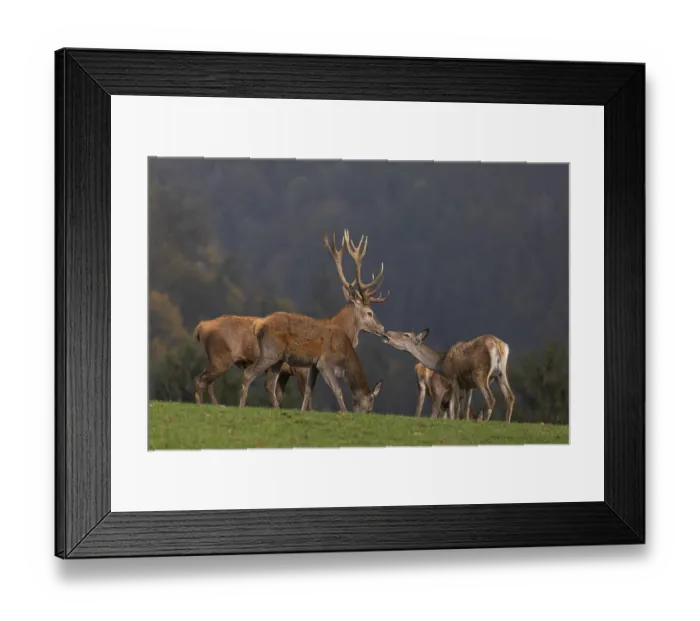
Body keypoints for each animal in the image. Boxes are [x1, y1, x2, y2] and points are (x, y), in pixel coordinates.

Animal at [237, 229, 389, 411]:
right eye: (370, 313)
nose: (383, 329)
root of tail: (259, 326)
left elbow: (306, 394)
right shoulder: (303, 368)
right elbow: (311, 396)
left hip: (277, 361)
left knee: (269, 385)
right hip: (269, 354)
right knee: (249, 375)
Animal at [383, 329, 514, 422]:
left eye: (406, 334)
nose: (387, 333)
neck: (442, 364)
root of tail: (498, 345)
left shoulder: (454, 377)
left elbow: (456, 406)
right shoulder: (468, 385)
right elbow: (465, 408)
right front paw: (465, 421)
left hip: (479, 373)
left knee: (491, 398)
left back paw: (484, 423)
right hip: (501, 373)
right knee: (510, 396)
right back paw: (506, 423)